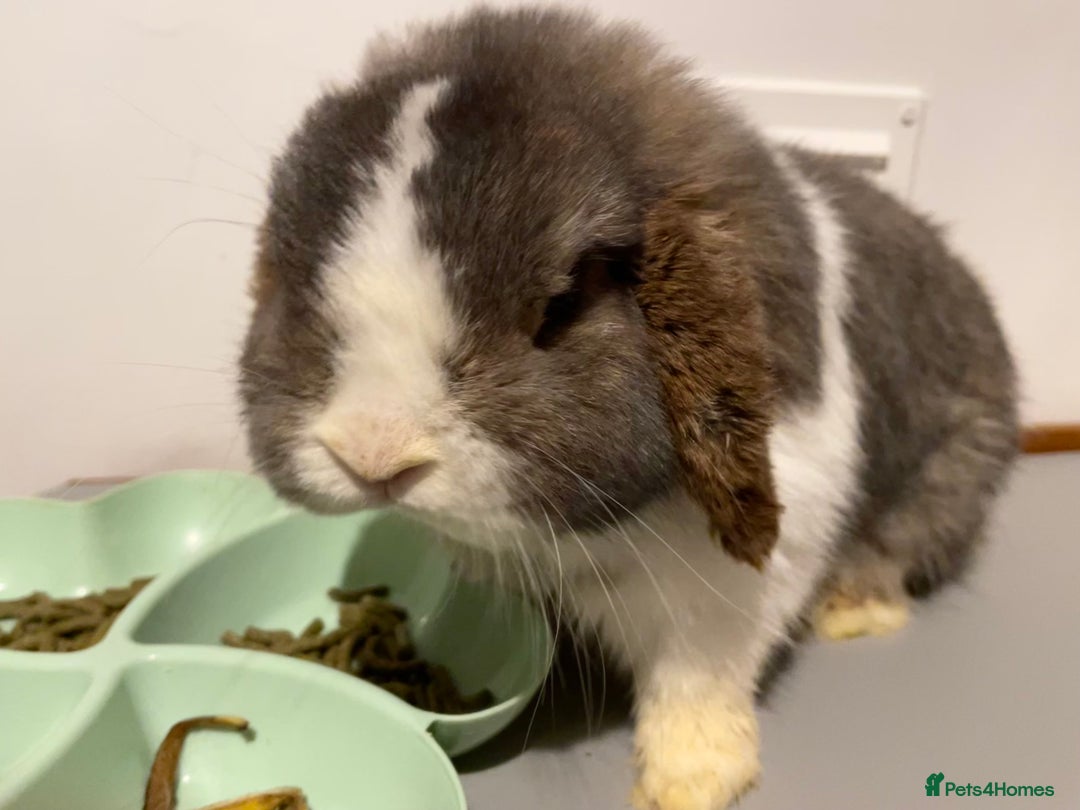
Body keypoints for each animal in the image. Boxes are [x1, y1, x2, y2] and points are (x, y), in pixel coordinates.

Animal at [238, 6, 1019, 809]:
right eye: (300, 287)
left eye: (562, 305)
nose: (374, 454)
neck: (588, 537)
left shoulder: (738, 579)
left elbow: (698, 678)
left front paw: (687, 782)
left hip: (947, 476)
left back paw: (855, 610)